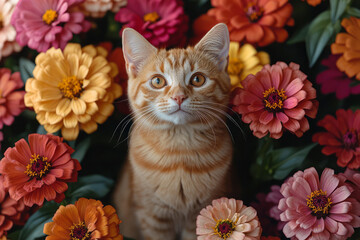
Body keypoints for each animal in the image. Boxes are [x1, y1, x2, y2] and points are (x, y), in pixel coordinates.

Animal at [114, 23, 235, 240]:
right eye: (158, 81)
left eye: (197, 79)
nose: (179, 97)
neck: (179, 154)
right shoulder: (152, 218)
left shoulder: (201, 216)